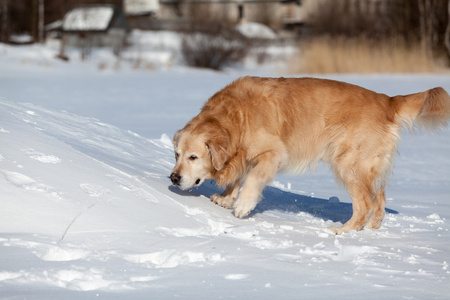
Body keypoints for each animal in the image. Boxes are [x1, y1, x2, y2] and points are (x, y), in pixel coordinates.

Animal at [170, 77, 450, 234]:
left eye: (193, 157)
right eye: (176, 155)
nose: (173, 178)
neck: (238, 116)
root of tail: (388, 100)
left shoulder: (273, 152)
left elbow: (252, 179)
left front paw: (242, 205)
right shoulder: (242, 154)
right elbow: (237, 176)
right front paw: (226, 198)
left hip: (348, 164)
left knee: (364, 205)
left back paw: (344, 231)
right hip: (372, 168)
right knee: (378, 204)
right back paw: (369, 231)